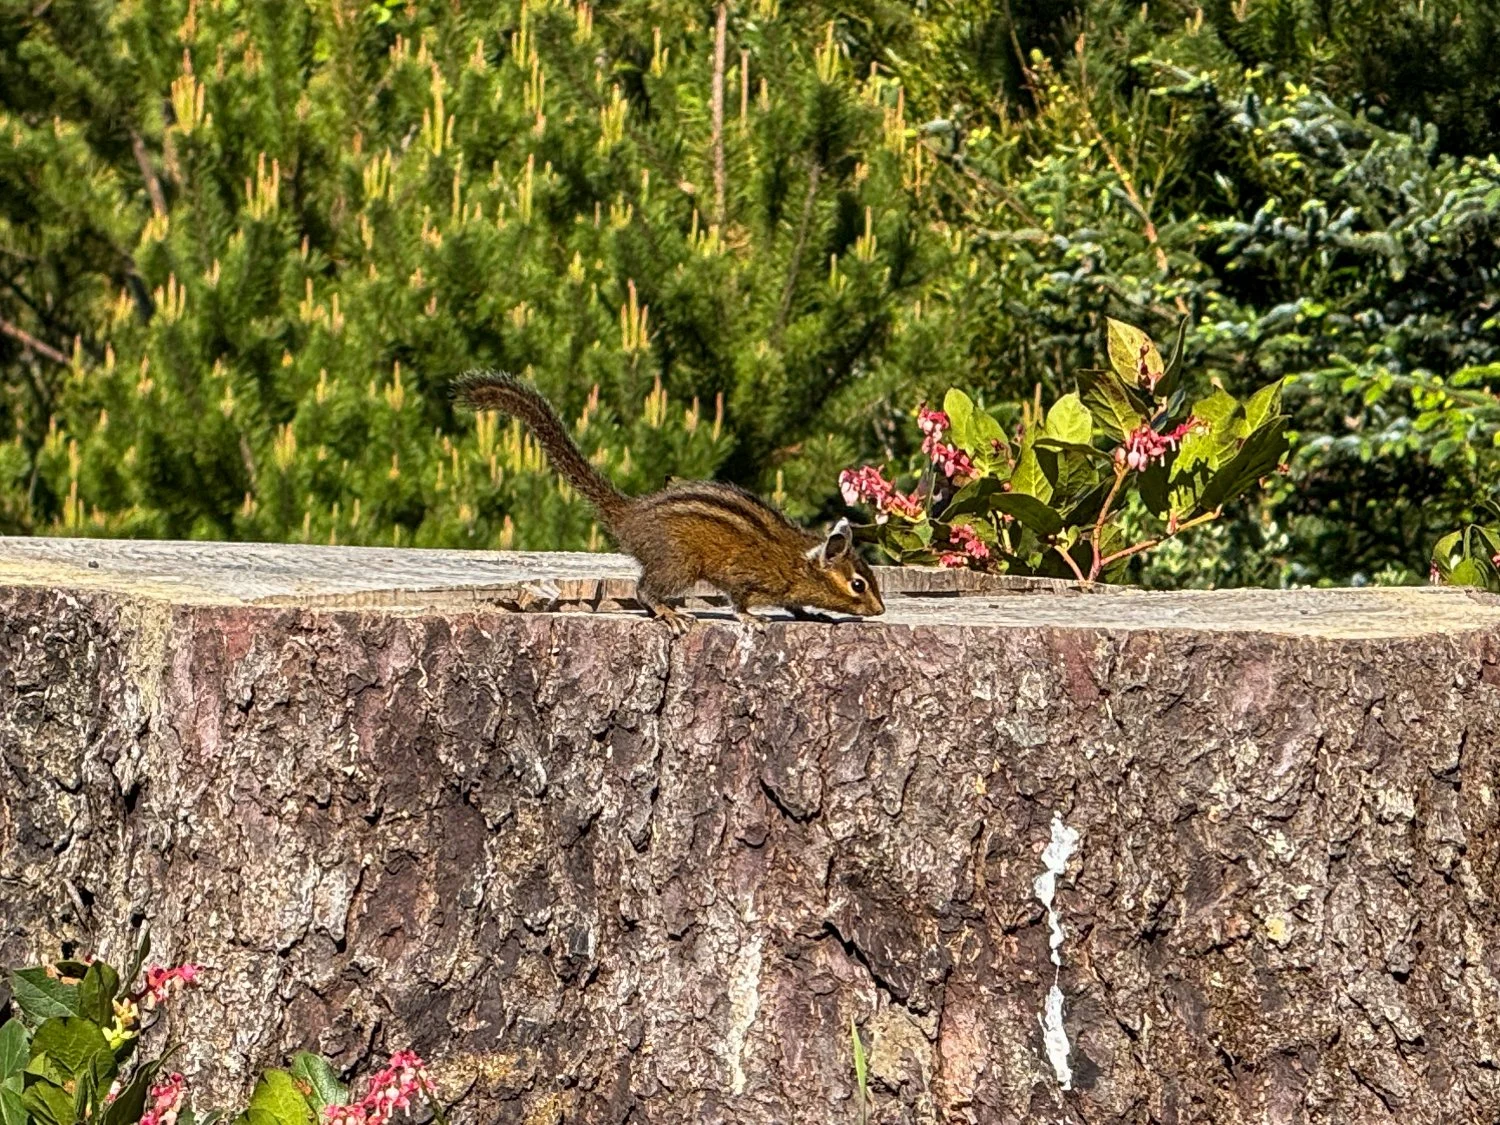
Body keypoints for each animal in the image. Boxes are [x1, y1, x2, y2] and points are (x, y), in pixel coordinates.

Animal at [452, 371, 885, 632]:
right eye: (858, 584)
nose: (880, 610)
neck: (799, 562)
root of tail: (631, 513)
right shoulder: (745, 576)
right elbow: (739, 601)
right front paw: (750, 618)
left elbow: (796, 606)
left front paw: (811, 613)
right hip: (679, 563)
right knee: (644, 589)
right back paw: (667, 612)